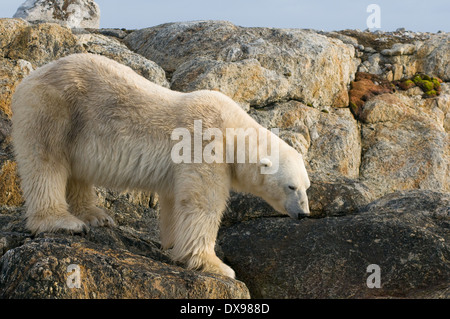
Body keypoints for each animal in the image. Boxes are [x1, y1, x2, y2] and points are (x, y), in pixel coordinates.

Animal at [12, 53, 312, 278]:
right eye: (291, 186)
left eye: (307, 186)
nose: (304, 214)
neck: (232, 130)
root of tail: (28, 78)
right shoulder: (204, 144)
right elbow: (202, 203)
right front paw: (216, 265)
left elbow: (174, 201)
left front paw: (171, 242)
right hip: (54, 108)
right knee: (46, 161)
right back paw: (63, 221)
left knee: (75, 172)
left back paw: (95, 215)